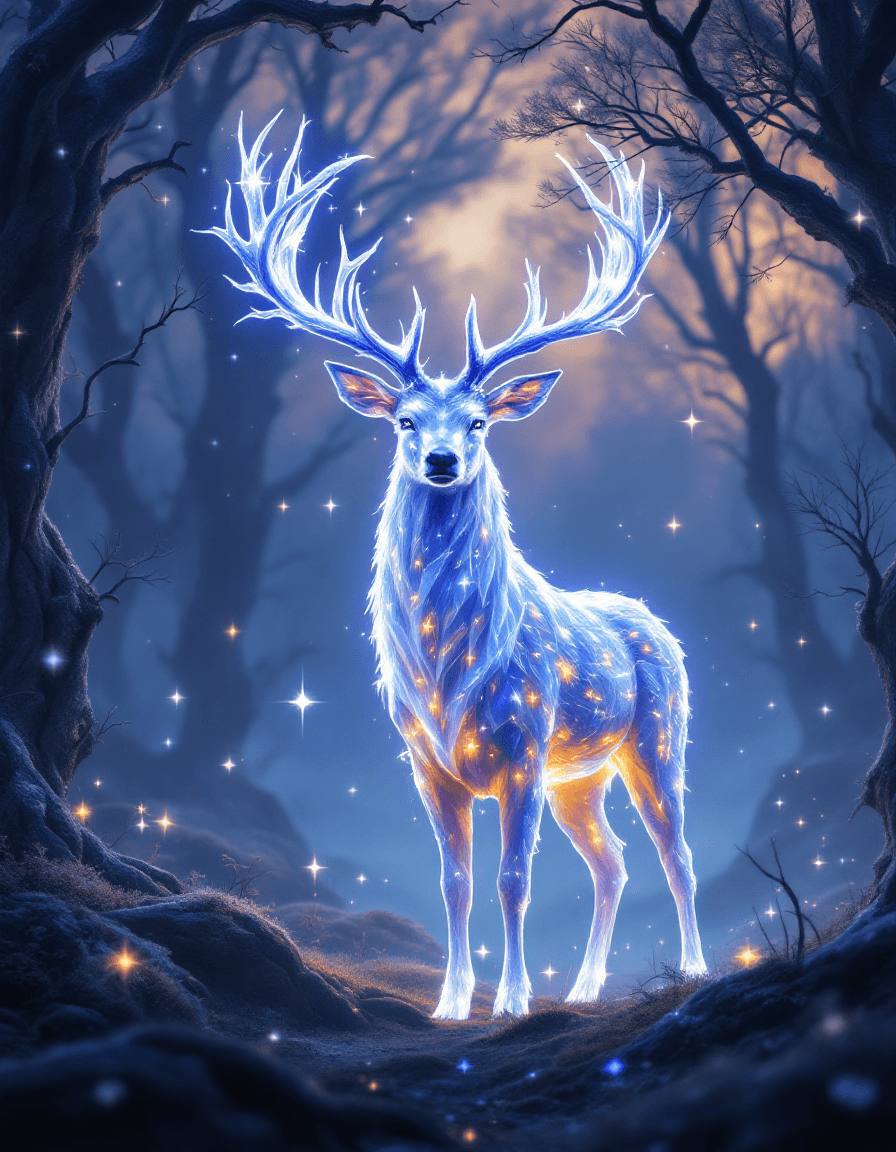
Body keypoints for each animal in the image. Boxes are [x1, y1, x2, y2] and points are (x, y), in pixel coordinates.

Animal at [205, 113, 707, 1019]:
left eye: (478, 421)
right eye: (404, 419)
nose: (441, 459)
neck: (451, 672)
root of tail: (656, 620)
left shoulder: (521, 743)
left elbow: (512, 879)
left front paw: (508, 1002)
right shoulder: (425, 759)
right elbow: (453, 882)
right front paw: (448, 1004)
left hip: (656, 736)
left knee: (675, 851)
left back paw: (689, 967)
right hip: (579, 775)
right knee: (613, 859)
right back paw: (586, 987)